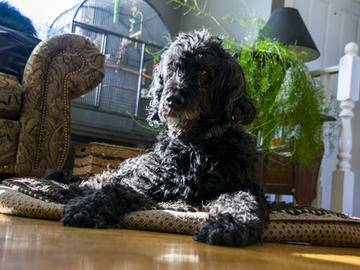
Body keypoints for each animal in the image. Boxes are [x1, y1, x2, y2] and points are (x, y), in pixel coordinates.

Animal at [60, 29, 270, 247]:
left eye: (204, 72)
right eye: (171, 67)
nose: (172, 98)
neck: (194, 147)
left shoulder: (244, 187)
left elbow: (242, 201)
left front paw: (227, 224)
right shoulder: (143, 181)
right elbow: (114, 190)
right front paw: (86, 206)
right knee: (98, 180)